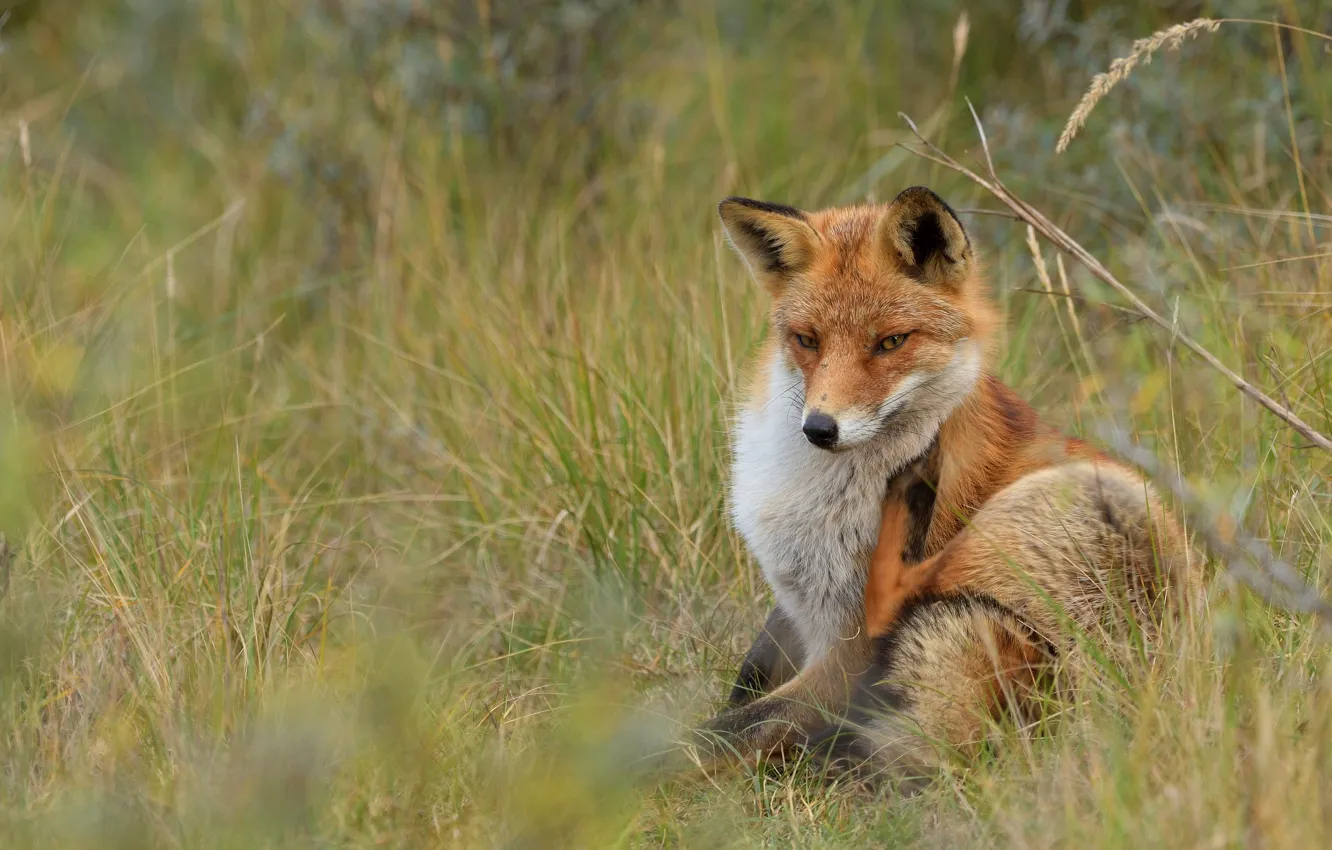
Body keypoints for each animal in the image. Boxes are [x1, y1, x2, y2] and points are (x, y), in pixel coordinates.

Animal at [703, 186, 1204, 788]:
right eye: (806, 340)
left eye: (891, 342)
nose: (820, 429)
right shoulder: (796, 603)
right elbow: (745, 684)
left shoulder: (846, 644)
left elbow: (723, 731)